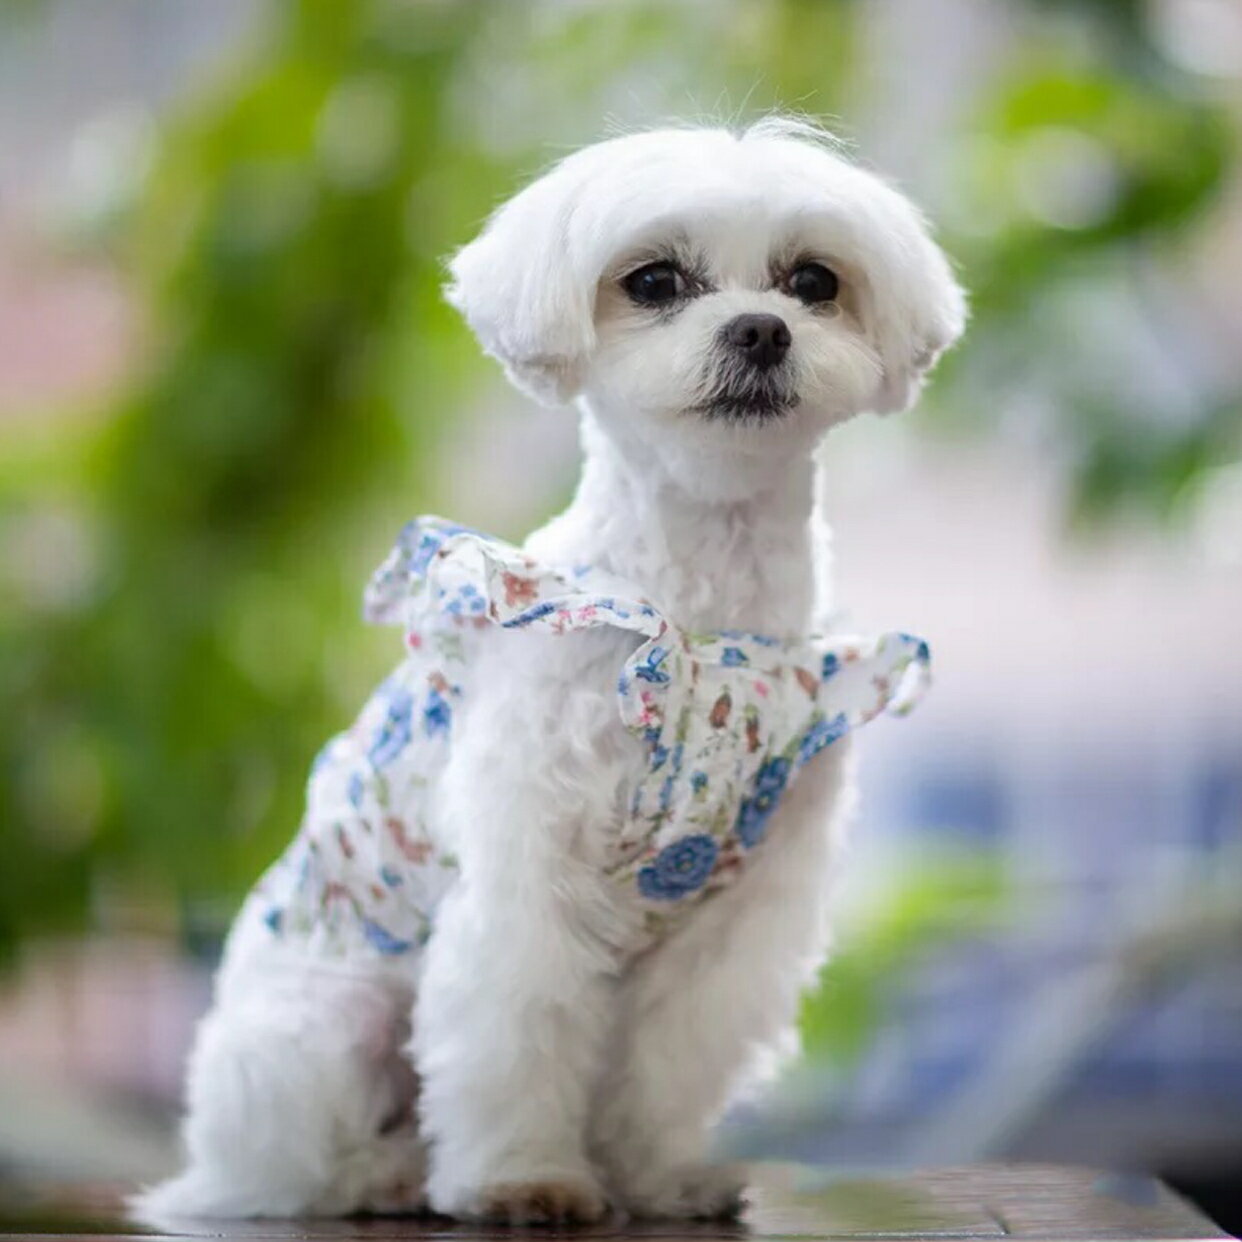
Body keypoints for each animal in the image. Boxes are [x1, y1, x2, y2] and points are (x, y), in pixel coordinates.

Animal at [140, 121, 963, 1227]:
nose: (761, 330)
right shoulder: (532, 875)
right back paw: (387, 1174)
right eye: (654, 280)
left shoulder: (737, 917)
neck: (706, 613)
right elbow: (515, 1026)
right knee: (287, 1174)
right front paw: (523, 1179)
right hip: (325, 1027)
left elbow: (675, 1055)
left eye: (813, 281)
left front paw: (658, 1176)